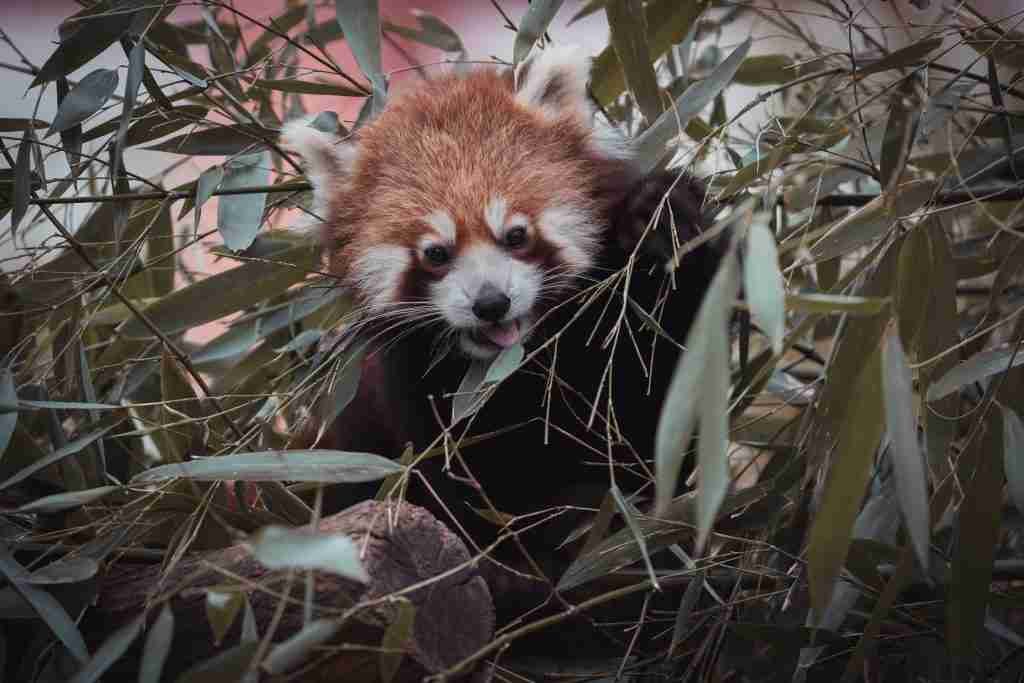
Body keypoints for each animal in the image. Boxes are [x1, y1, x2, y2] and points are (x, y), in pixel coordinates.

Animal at [278, 48, 720, 577]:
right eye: (435, 254)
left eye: (516, 235)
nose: (491, 304)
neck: (521, 367)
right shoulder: (411, 394)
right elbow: (469, 484)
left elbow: (661, 410)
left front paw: (661, 217)